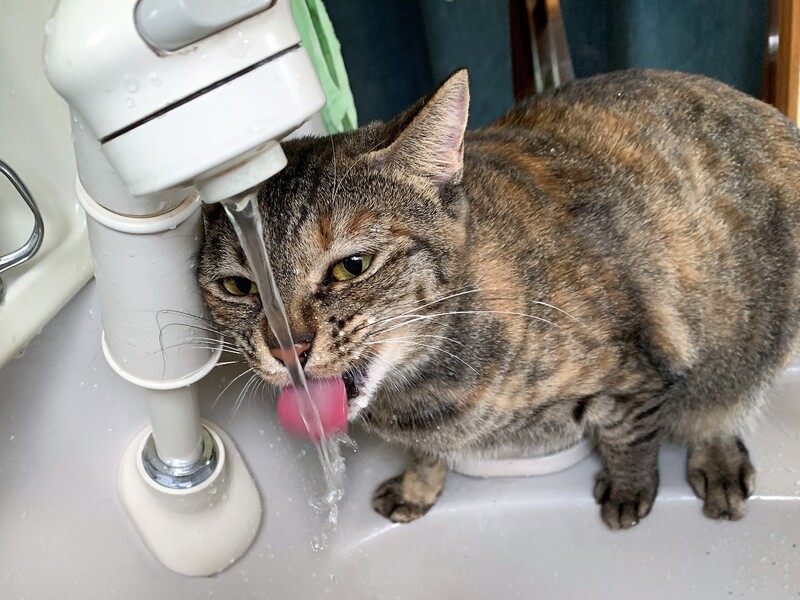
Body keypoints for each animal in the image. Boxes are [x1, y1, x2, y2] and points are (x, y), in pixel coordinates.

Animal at [199, 69, 800, 530]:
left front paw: (630, 488)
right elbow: (425, 455)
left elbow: (629, 434)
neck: (417, 398)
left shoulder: (633, 372)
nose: (286, 347)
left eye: (353, 266)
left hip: (752, 334)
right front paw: (418, 486)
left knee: (720, 402)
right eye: (238, 287)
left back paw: (716, 458)